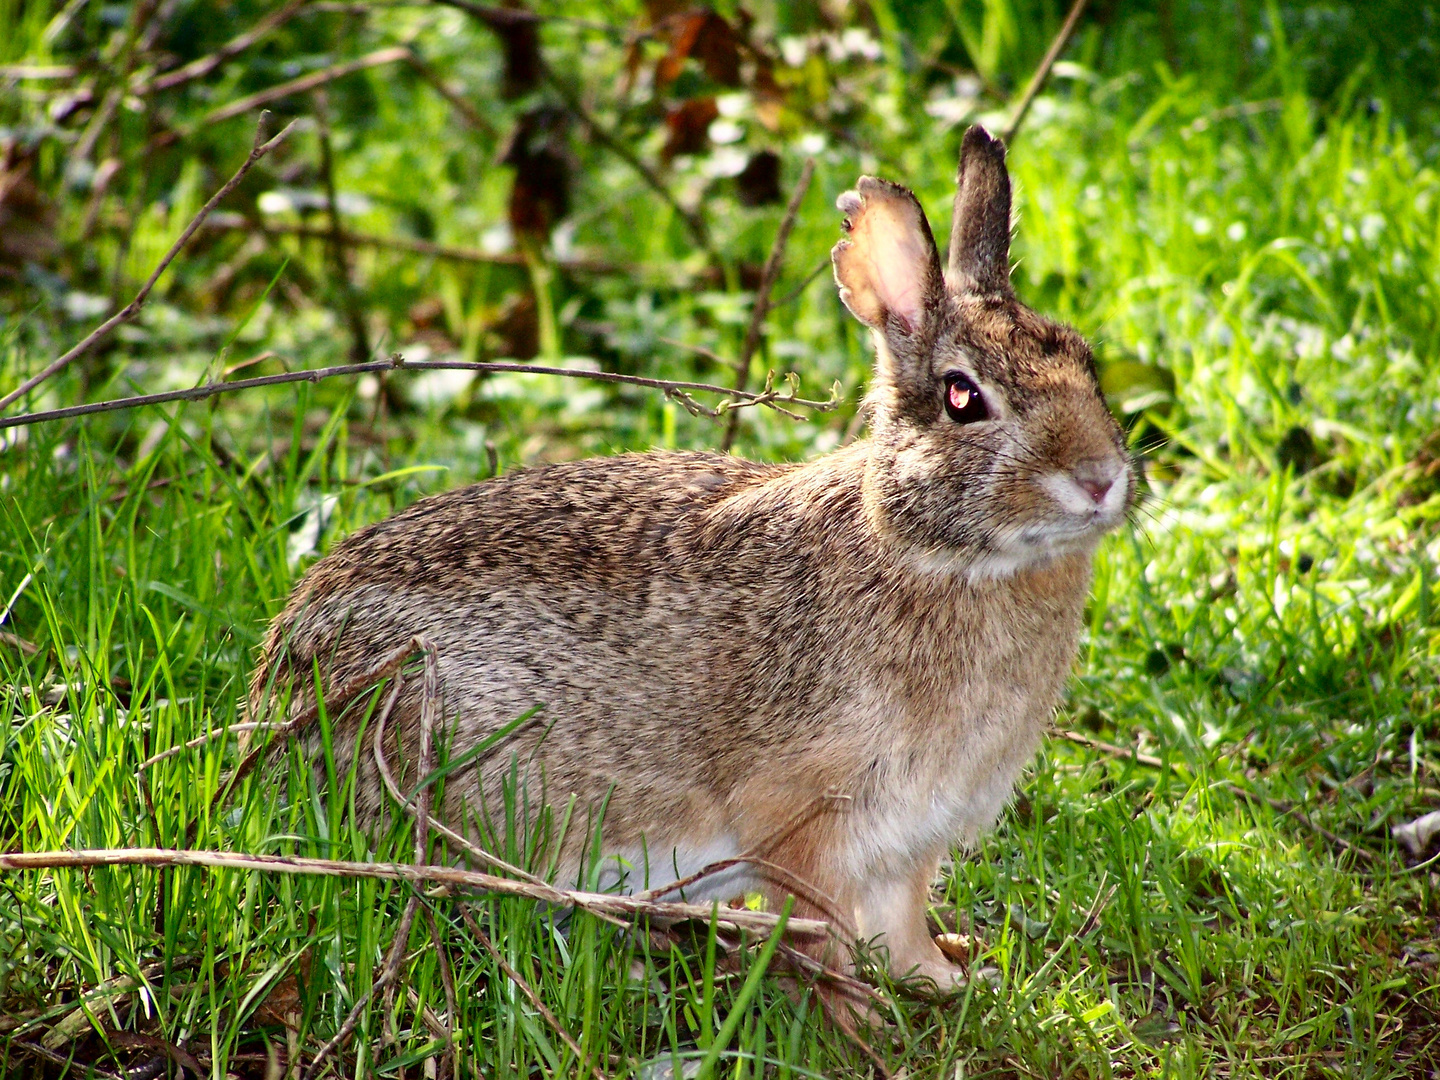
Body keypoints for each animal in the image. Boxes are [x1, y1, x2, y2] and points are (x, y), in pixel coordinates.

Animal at [250, 122, 1134, 996]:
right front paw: (860, 1010)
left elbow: (901, 919)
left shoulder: (908, 843)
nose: (1100, 478)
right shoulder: (802, 814)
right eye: (962, 398)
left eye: (1085, 362)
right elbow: (823, 927)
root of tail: (276, 685)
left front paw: (942, 979)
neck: (931, 549)